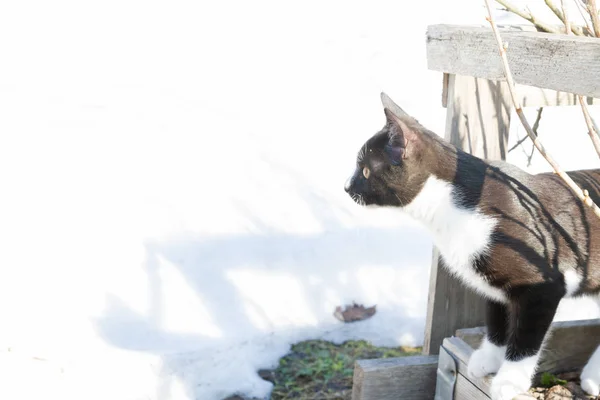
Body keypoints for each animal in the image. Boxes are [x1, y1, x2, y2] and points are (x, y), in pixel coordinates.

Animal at [344, 93, 600, 400]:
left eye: (365, 170)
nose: (346, 187)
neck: (451, 209)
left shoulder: (544, 285)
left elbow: (526, 335)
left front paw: (509, 380)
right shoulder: (493, 282)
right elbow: (497, 318)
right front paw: (487, 359)